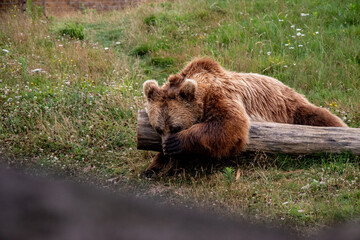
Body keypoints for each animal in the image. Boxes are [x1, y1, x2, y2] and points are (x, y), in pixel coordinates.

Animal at [142, 58, 348, 177]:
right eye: (158, 128)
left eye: (176, 127)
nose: (166, 147)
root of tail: (284, 85)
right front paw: (153, 168)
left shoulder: (222, 96)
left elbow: (230, 124)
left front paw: (177, 144)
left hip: (291, 108)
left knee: (321, 117)